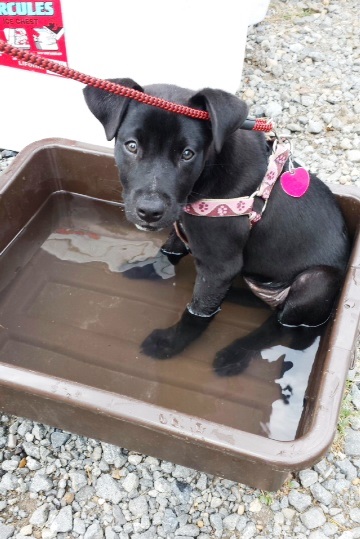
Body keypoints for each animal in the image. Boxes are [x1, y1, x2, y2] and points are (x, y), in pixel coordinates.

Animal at [83, 79, 348, 358]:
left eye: (187, 154)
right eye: (132, 146)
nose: (149, 211)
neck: (210, 171)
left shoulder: (219, 266)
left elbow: (198, 313)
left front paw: (170, 343)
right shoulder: (182, 221)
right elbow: (168, 251)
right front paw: (148, 269)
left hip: (316, 282)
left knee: (279, 326)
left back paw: (235, 354)